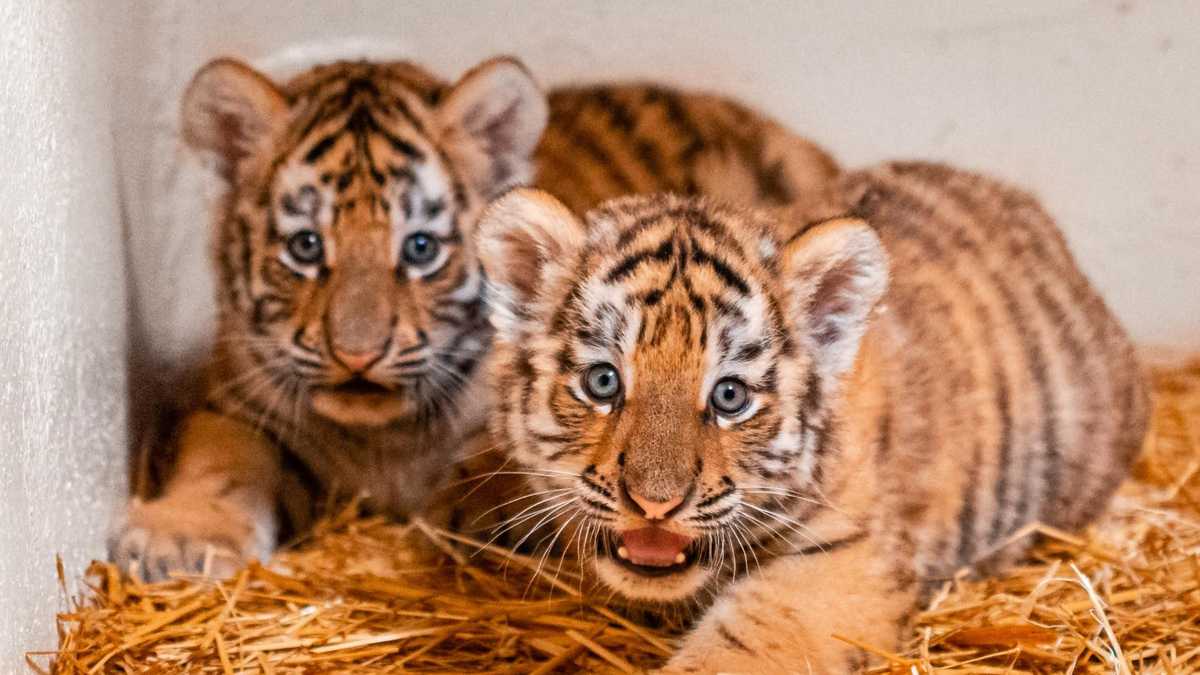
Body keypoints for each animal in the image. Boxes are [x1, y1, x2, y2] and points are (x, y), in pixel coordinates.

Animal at [108, 54, 838, 581]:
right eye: (306, 246)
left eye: (420, 248)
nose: (357, 354)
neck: (382, 436)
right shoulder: (237, 402)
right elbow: (222, 458)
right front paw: (179, 539)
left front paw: (473, 512)